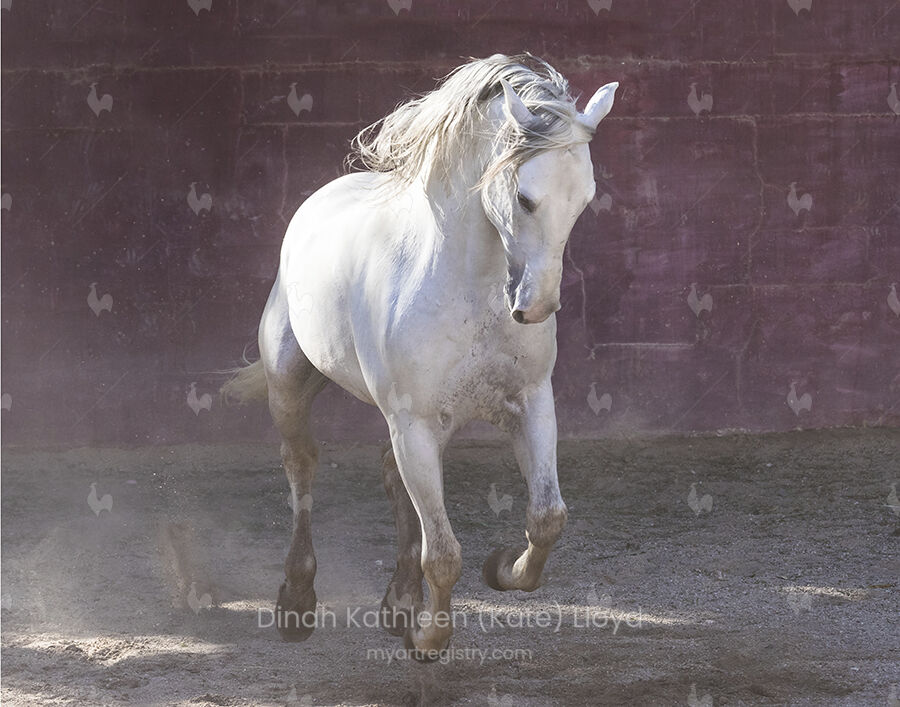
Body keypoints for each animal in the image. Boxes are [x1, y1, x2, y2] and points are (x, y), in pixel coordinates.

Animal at [223, 53, 618, 660]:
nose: (536, 307)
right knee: (301, 467)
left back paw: (397, 602)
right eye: (526, 198)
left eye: (584, 198)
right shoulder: (414, 422)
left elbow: (547, 518)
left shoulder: (528, 405)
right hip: (291, 386)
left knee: (393, 481)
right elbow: (445, 555)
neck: (466, 288)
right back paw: (297, 600)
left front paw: (501, 569)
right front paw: (428, 638)